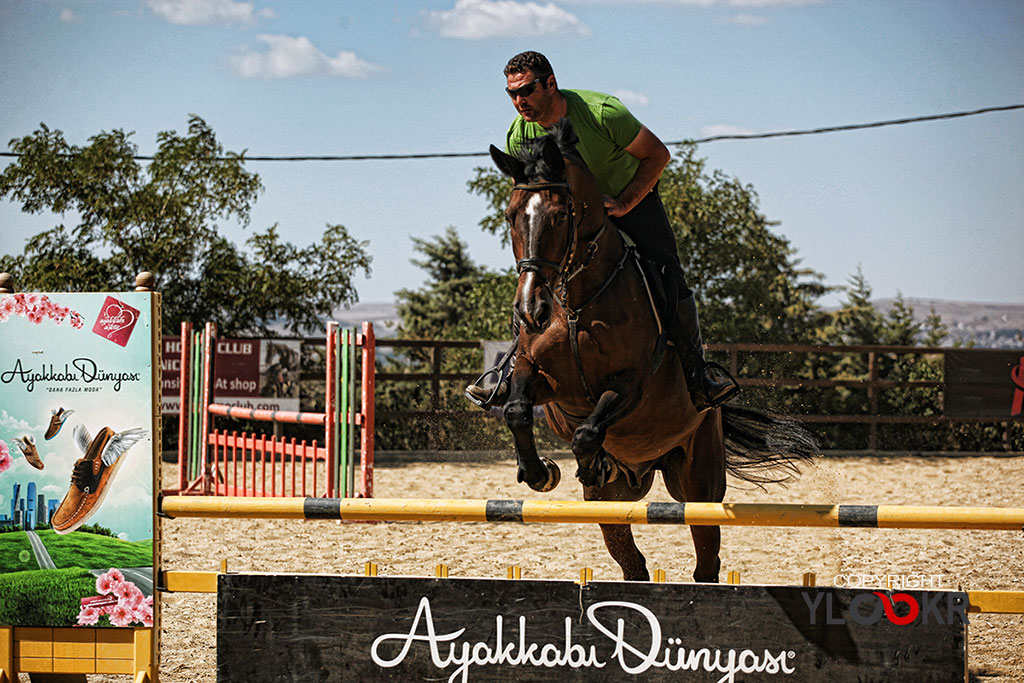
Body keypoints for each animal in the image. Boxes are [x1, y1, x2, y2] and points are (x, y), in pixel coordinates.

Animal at [487, 121, 815, 581]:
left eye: (559, 216)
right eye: (511, 216)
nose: (530, 309)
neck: (576, 303)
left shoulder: (631, 385)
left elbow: (588, 432)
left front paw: (588, 463)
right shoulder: (538, 373)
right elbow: (517, 409)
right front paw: (540, 473)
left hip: (697, 481)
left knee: (706, 559)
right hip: (614, 501)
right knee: (632, 563)